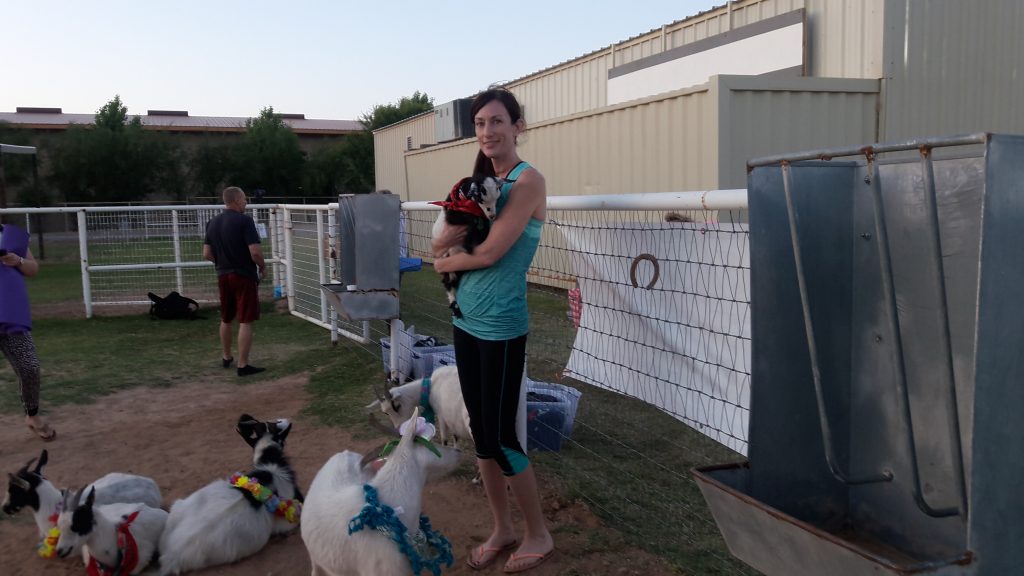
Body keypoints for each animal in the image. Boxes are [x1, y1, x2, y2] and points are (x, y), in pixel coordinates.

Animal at [428, 176, 499, 317]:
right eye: (481, 199)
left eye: (497, 197)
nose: (492, 216)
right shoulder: (455, 218)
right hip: (448, 265)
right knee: (448, 283)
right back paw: (455, 308)